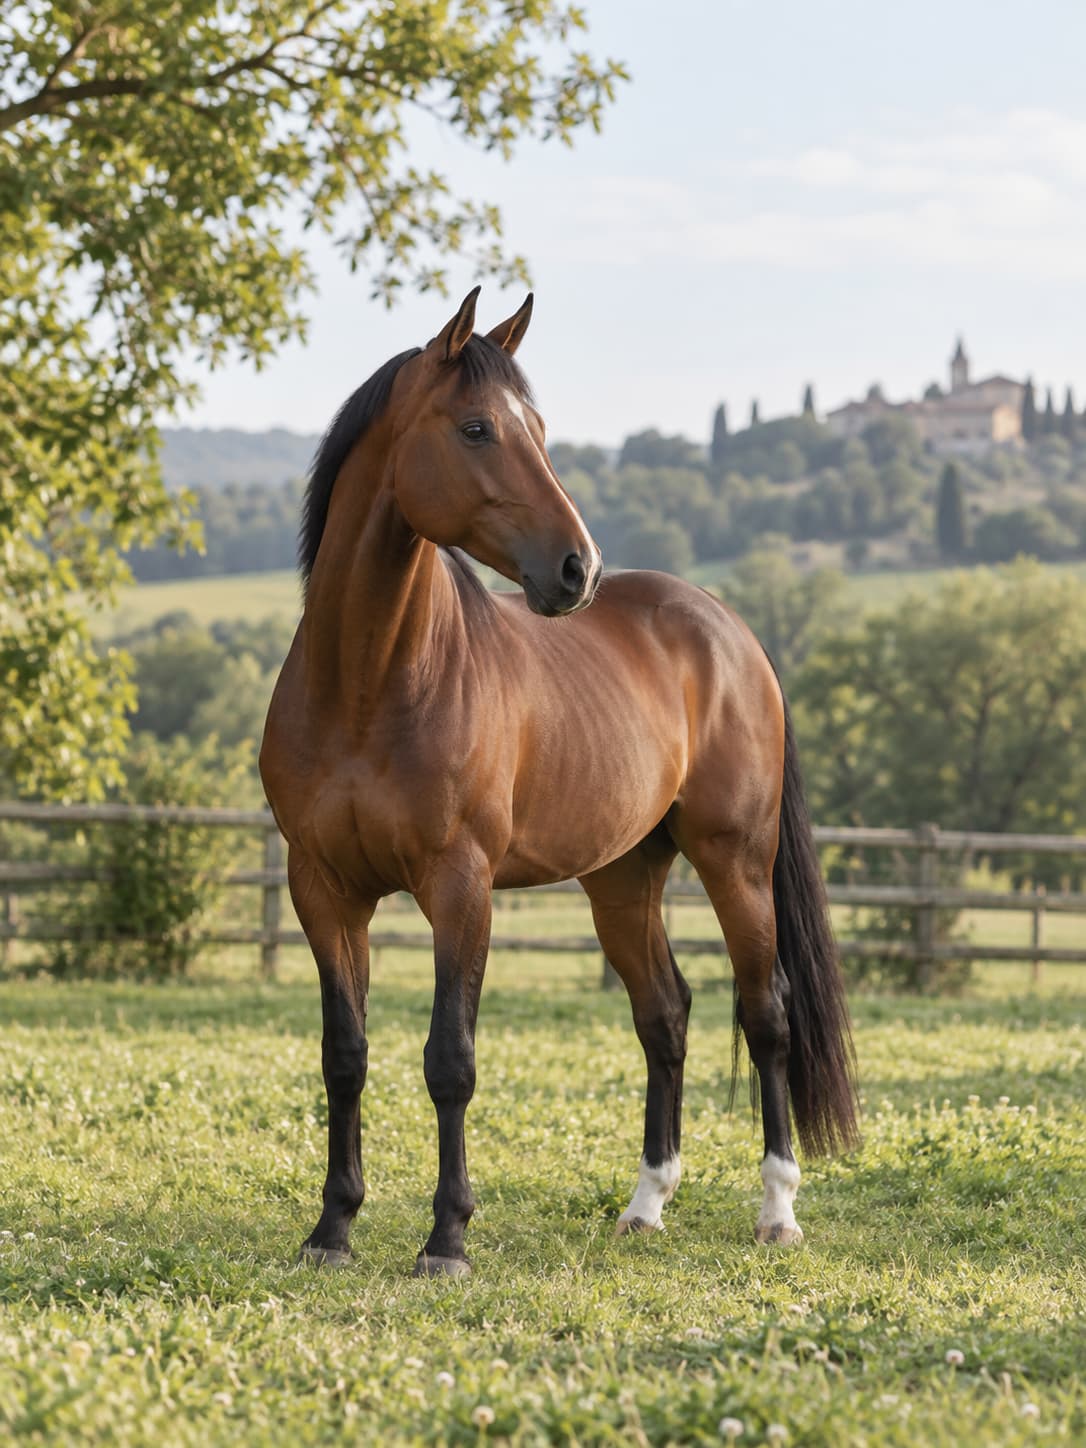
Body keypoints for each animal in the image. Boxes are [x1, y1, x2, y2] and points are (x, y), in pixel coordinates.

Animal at [259, 288, 858, 1278]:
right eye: (476, 428)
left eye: (535, 429)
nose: (580, 568)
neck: (370, 683)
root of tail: (730, 630)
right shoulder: (323, 890)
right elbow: (344, 1055)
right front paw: (332, 1228)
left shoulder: (460, 888)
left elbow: (450, 1061)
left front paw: (447, 1239)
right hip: (621, 877)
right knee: (666, 1015)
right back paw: (646, 1204)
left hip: (735, 862)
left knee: (763, 1014)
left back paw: (777, 1209)